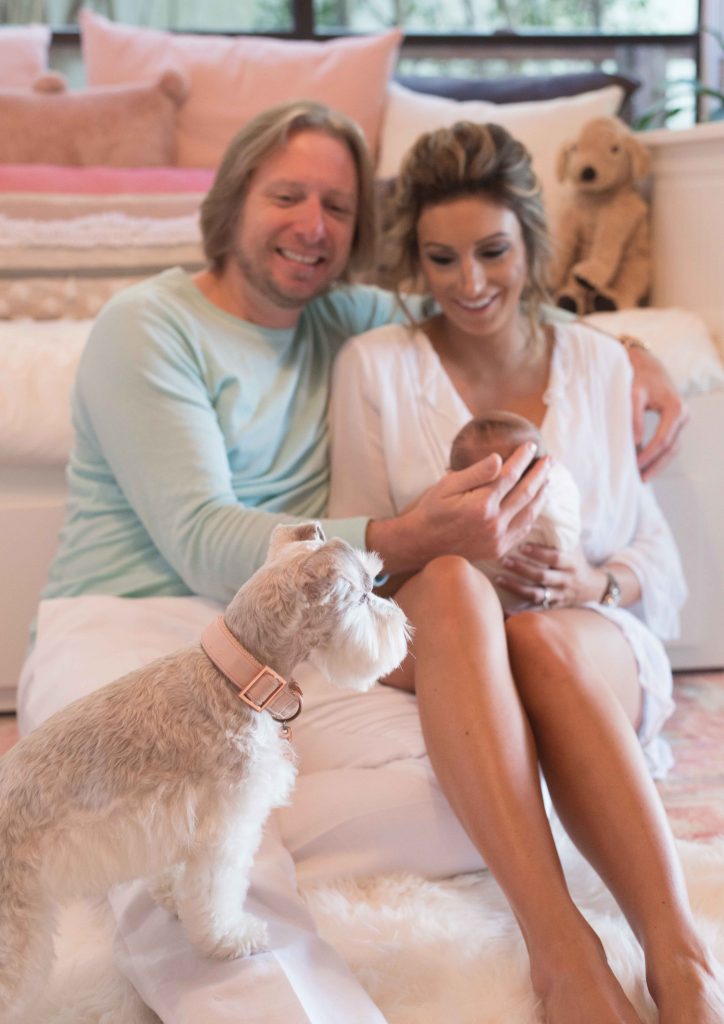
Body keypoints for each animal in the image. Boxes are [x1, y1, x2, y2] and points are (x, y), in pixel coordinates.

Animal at [0, 524, 411, 1019]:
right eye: (366, 593)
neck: (237, 678)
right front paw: (231, 940)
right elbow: (218, 894)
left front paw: (172, 897)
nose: (404, 625)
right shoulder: (228, 829)